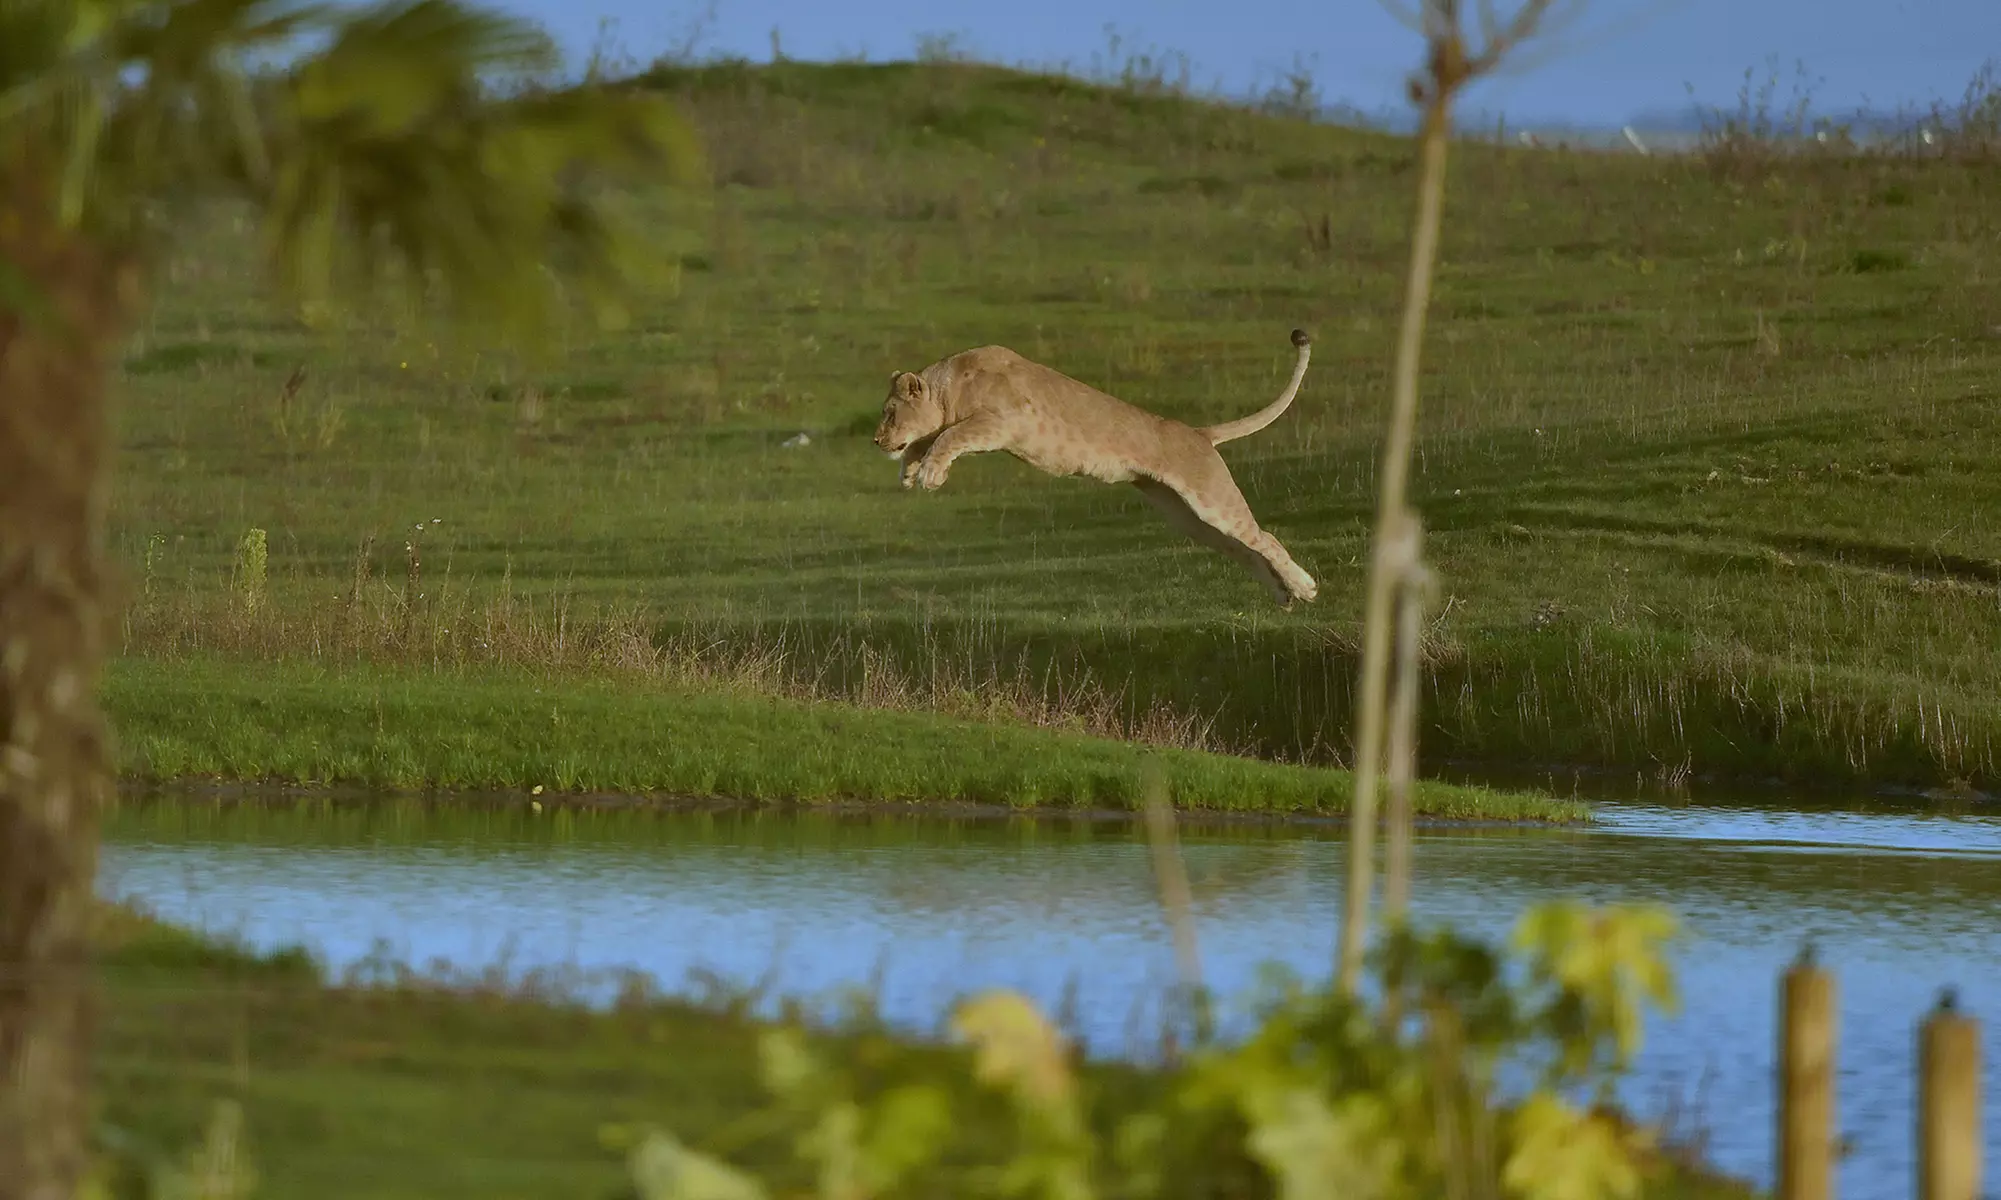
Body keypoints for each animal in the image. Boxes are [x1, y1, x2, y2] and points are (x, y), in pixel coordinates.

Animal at [873, 329, 1318, 607]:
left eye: (890, 413)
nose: (876, 441)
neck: (949, 389)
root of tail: (1197, 433)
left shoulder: (1002, 421)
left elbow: (949, 437)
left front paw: (930, 473)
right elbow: (929, 439)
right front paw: (910, 471)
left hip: (1210, 498)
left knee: (1265, 538)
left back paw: (1306, 587)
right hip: (1189, 517)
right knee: (1243, 548)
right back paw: (1284, 596)